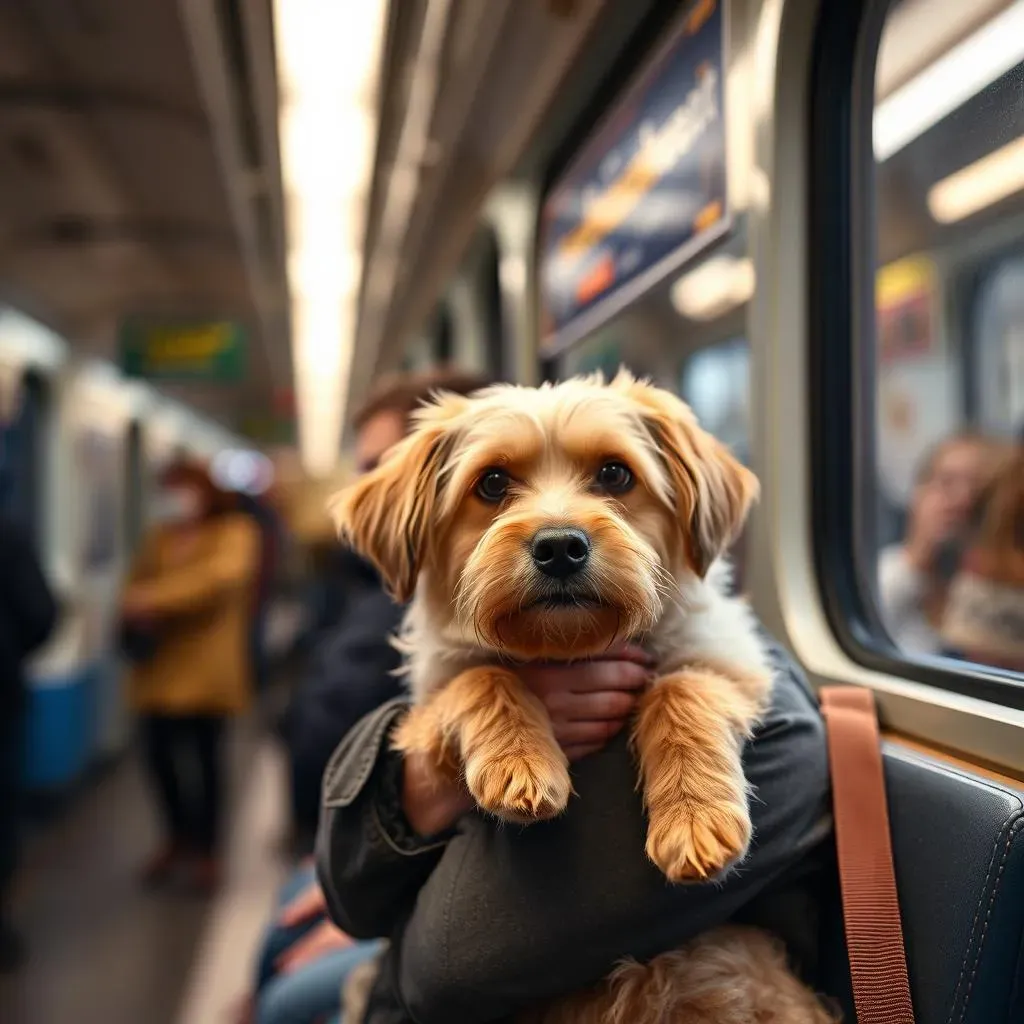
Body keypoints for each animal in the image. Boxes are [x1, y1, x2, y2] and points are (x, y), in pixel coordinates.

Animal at [333, 374, 831, 1024]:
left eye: (615, 474)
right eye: (491, 483)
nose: (560, 547)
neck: (569, 649)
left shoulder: (733, 663)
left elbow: (680, 686)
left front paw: (695, 817)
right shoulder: (425, 711)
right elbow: (483, 677)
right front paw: (520, 762)